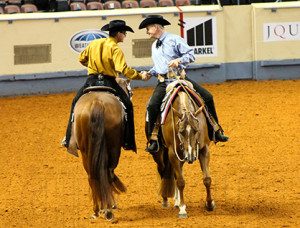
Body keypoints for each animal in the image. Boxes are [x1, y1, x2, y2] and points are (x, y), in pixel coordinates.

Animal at [69, 77, 132, 220]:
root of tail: (97, 103)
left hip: (86, 151)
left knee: (92, 176)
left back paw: (97, 210)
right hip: (114, 149)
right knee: (108, 172)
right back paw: (109, 208)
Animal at [149, 79, 216, 218]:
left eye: (196, 130)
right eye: (180, 131)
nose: (190, 156)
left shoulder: (204, 149)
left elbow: (207, 179)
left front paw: (210, 204)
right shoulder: (173, 153)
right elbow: (180, 181)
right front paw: (183, 209)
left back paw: (176, 202)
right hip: (161, 154)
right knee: (162, 171)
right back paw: (166, 200)